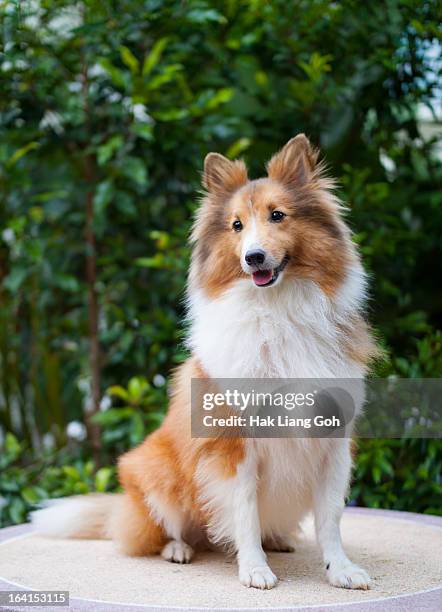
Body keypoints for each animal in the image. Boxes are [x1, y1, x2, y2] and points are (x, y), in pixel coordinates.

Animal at [32, 134, 376, 588]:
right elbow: (244, 511)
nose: (253, 258)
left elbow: (331, 518)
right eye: (236, 225)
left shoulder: (333, 442)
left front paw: (342, 570)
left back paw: (277, 539)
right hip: (153, 472)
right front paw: (254, 570)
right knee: (166, 530)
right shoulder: (232, 445)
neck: (277, 310)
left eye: (278, 215)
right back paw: (179, 549)